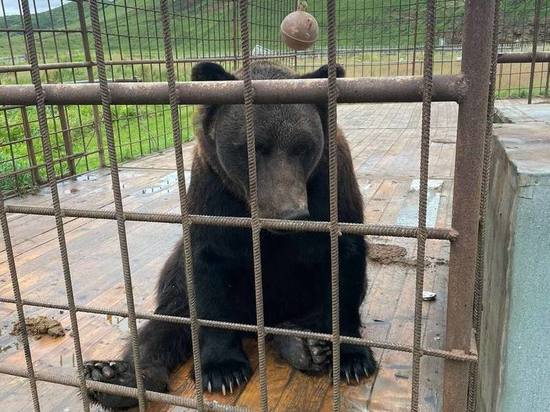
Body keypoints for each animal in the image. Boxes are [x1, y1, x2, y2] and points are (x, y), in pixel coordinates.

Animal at [85, 60, 380, 408]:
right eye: (253, 148)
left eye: (303, 147)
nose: (290, 213)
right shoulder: (215, 193)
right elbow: (211, 270)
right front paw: (223, 370)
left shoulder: (330, 188)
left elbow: (343, 266)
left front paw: (353, 358)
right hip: (179, 280)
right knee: (165, 324)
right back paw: (115, 377)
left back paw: (304, 344)